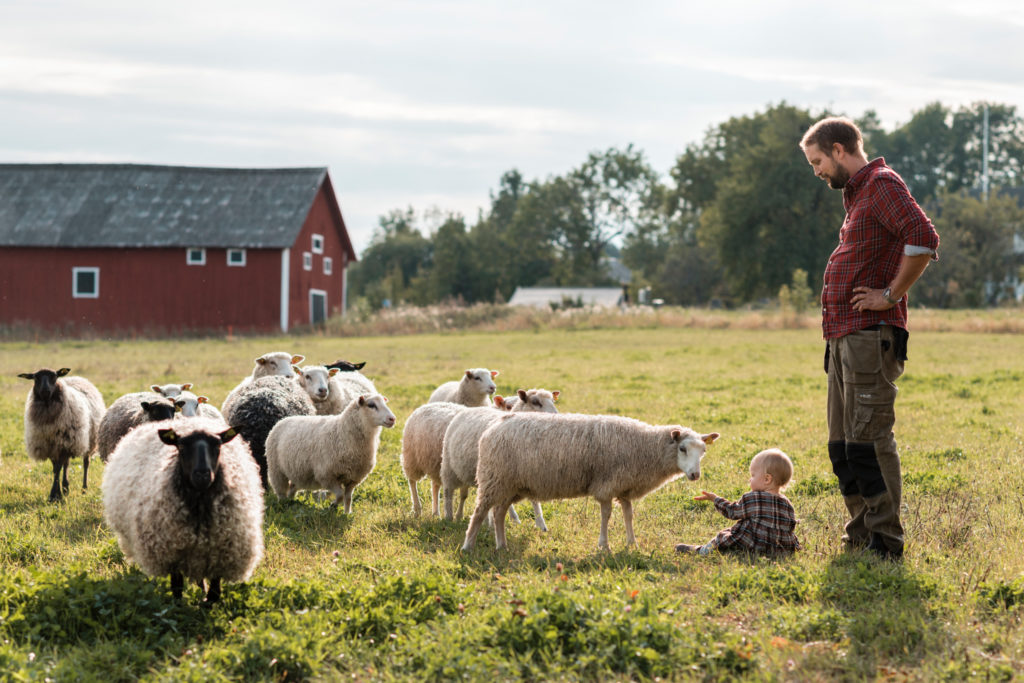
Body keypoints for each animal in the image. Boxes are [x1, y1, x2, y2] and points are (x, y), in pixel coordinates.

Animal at [18, 368, 105, 501]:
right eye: (35, 378)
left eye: (54, 376)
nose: (45, 390)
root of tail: (77, 378)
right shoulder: (49, 446)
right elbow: (55, 469)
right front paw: (57, 493)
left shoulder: (64, 444)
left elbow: (58, 467)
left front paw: (54, 495)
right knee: (67, 464)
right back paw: (65, 487)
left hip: (87, 441)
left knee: (86, 463)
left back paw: (84, 488)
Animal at [101, 417, 264, 602]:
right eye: (181, 447)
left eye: (218, 446)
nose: (202, 474)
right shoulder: (173, 553)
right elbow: (177, 586)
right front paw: (178, 604)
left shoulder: (222, 554)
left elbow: (214, 592)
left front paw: (207, 601)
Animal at [266, 395, 397, 511]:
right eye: (371, 405)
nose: (392, 419)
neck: (342, 431)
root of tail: (283, 420)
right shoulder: (326, 476)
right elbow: (340, 495)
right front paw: (332, 506)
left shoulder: (353, 479)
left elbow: (348, 498)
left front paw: (347, 513)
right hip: (276, 470)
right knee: (280, 491)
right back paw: (284, 505)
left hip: (299, 473)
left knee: (293, 487)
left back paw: (291, 502)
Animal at [440, 389, 561, 524]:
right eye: (535, 402)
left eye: (553, 401)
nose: (556, 415)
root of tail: (471, 408)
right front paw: (514, 519)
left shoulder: (528, 472)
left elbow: (534, 501)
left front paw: (540, 523)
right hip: (449, 466)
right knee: (448, 491)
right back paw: (449, 517)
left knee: (466, 494)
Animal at [464, 413, 720, 552]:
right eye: (682, 448)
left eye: (704, 451)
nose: (695, 475)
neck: (644, 447)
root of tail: (495, 425)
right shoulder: (607, 486)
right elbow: (606, 515)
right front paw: (604, 545)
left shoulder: (624, 487)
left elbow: (628, 514)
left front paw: (632, 542)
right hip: (493, 479)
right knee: (480, 512)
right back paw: (468, 546)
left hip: (510, 485)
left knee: (498, 513)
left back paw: (501, 545)